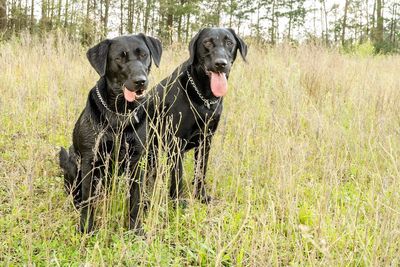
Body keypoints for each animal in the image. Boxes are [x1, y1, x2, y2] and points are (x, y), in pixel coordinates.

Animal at [58, 34, 162, 234]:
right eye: (119, 58)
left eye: (144, 55)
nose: (140, 81)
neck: (119, 113)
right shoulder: (90, 160)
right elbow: (88, 200)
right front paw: (86, 229)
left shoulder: (136, 160)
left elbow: (135, 200)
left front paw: (135, 229)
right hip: (73, 163)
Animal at [147, 27, 247, 203]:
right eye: (207, 42)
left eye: (229, 42)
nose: (221, 64)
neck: (205, 98)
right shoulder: (176, 142)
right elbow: (177, 176)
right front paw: (177, 202)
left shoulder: (206, 140)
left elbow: (201, 170)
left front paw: (201, 196)